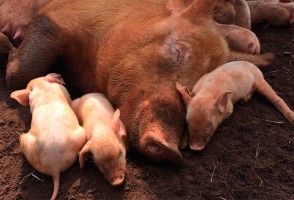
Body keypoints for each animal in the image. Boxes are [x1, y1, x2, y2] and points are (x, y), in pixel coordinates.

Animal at [4, 0, 272, 162]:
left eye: (201, 80)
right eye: (177, 50)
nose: (171, 149)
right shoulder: (56, 18)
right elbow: (17, 76)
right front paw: (8, 48)